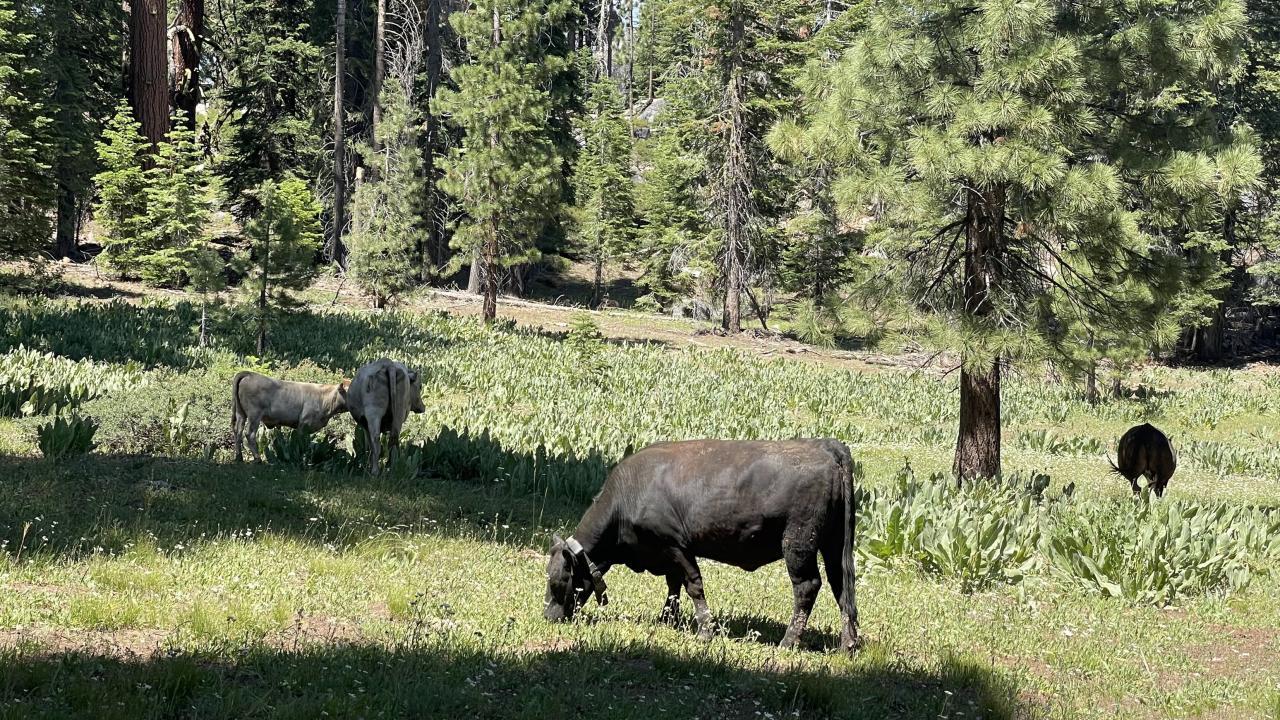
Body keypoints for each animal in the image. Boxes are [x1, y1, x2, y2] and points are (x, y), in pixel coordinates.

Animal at [544, 439, 861, 654]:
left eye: (558, 580)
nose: (548, 616)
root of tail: (824, 445)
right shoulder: (666, 554)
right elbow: (673, 586)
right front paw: (667, 619)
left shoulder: (676, 545)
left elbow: (693, 585)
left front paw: (705, 630)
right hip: (834, 545)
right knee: (842, 588)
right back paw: (847, 644)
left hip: (798, 543)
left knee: (807, 587)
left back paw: (788, 640)